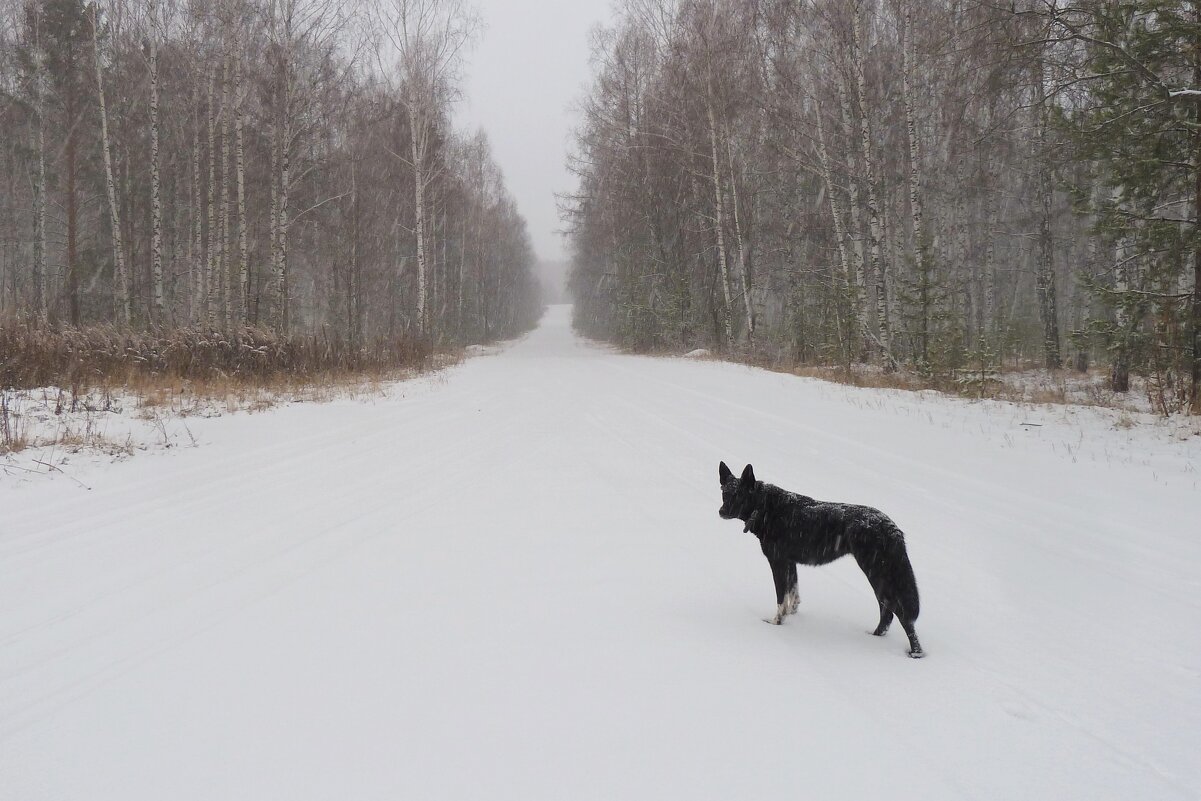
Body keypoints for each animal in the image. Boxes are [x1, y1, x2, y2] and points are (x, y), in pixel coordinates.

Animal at [715, 463, 922, 658]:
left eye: (739, 495)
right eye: (725, 494)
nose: (721, 511)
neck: (763, 506)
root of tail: (891, 527)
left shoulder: (777, 562)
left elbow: (781, 598)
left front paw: (776, 623)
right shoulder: (790, 563)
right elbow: (793, 594)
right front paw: (792, 615)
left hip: (877, 576)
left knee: (900, 615)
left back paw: (915, 653)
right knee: (887, 614)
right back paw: (874, 637)